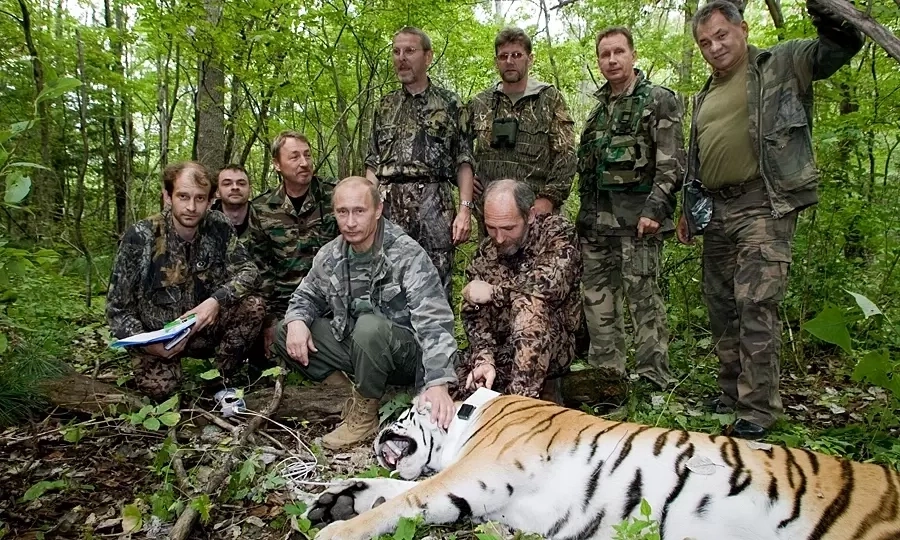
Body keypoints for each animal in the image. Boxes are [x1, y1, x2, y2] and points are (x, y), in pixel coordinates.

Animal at [307, 388, 900, 540]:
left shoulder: (477, 473)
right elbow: (392, 492)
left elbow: (402, 497)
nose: (378, 429)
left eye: (403, 412)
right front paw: (333, 497)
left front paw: (333, 531)